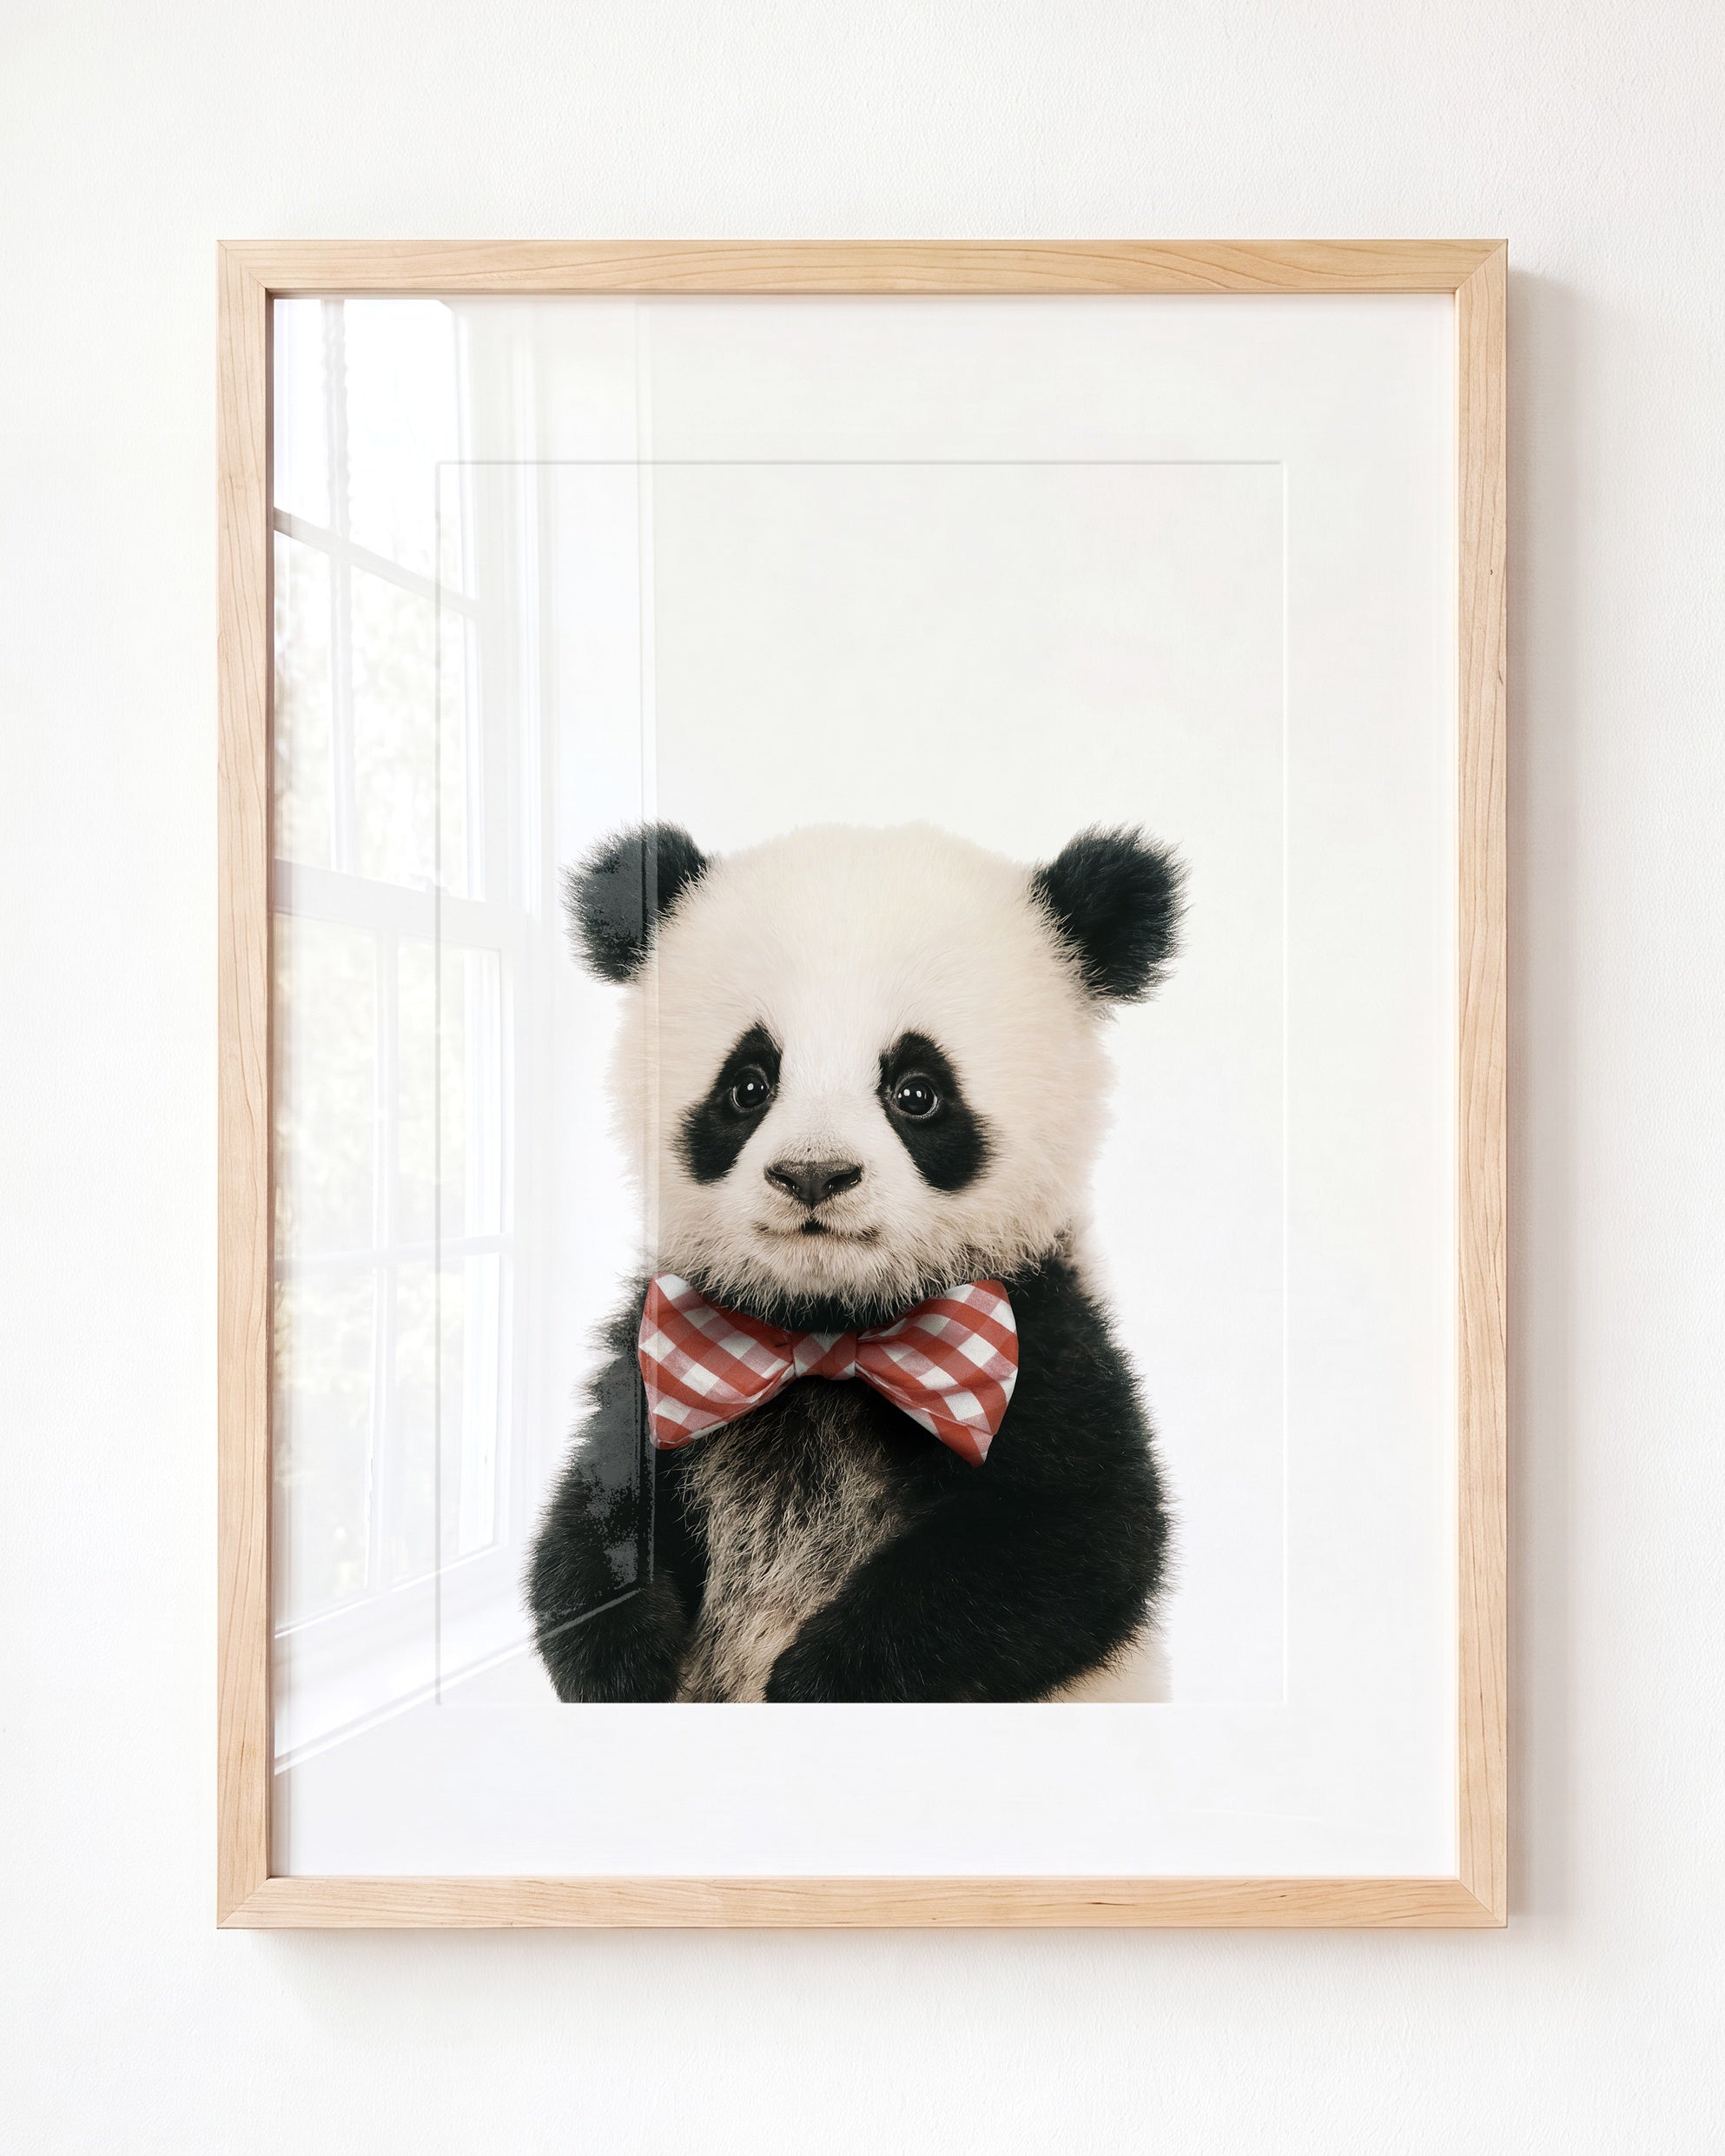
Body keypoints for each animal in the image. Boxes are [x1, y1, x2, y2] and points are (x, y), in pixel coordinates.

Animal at [527, 818, 1184, 1703]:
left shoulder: (1046, 1341)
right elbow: (594, 1513)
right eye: (748, 1085)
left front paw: (818, 1679)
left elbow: (1075, 1538)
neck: (829, 1333)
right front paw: (625, 1661)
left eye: (917, 1091)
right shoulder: (659, 1352)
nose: (814, 1174)